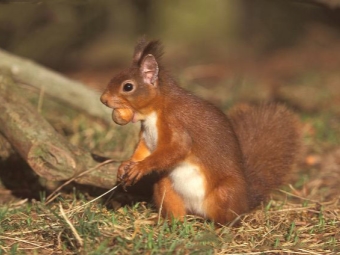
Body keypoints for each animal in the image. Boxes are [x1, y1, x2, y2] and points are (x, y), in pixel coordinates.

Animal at [100, 38, 300, 224]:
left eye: (128, 86)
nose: (103, 99)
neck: (154, 112)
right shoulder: (147, 139)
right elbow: (142, 151)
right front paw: (126, 165)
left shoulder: (177, 125)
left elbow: (177, 149)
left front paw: (141, 167)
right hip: (166, 186)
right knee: (176, 212)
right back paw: (166, 222)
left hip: (225, 192)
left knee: (229, 219)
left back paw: (219, 229)